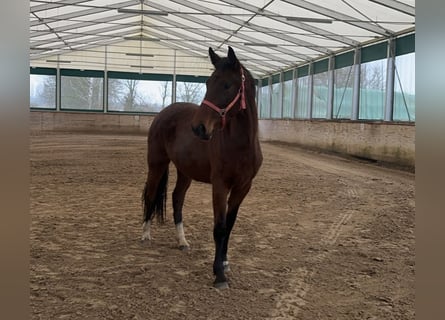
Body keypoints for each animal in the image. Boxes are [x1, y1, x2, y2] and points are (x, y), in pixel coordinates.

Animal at [140, 46, 262, 288]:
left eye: (227, 85)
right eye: (207, 82)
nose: (199, 128)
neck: (240, 145)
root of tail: (164, 113)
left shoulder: (243, 187)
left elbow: (230, 225)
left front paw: (225, 263)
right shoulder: (220, 185)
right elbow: (219, 228)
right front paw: (219, 275)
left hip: (185, 171)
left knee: (177, 199)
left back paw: (182, 242)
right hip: (156, 164)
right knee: (150, 194)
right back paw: (146, 235)